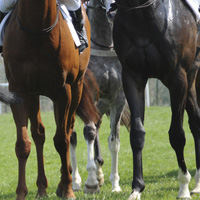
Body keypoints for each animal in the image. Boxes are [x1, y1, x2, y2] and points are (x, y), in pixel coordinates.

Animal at [2, 0, 90, 199]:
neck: (37, 28)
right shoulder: (18, 90)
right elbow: (23, 143)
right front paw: (21, 192)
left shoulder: (63, 90)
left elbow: (62, 140)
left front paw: (67, 190)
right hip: (34, 94)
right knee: (39, 134)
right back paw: (42, 188)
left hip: (77, 86)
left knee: (68, 128)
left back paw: (65, 182)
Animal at [69, 0, 130, 195]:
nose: (114, 10)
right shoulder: (88, 95)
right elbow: (88, 132)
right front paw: (90, 183)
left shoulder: (118, 98)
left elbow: (114, 140)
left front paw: (115, 184)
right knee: (71, 136)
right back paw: (76, 182)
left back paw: (99, 173)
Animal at [113, 0, 200, 199]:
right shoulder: (132, 77)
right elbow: (137, 133)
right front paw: (137, 188)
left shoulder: (178, 77)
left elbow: (177, 135)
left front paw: (183, 186)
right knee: (196, 122)